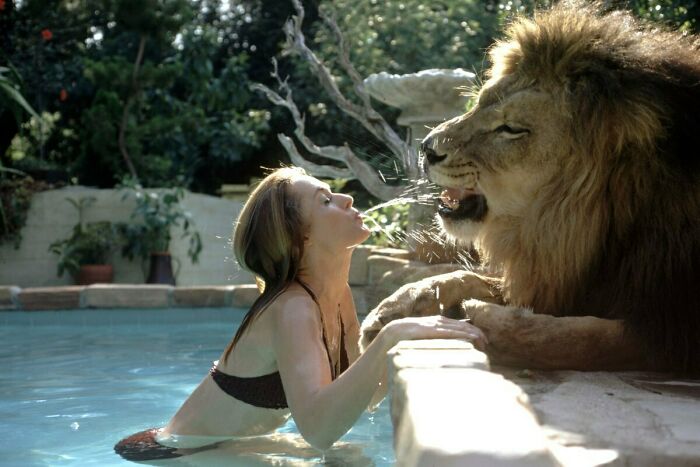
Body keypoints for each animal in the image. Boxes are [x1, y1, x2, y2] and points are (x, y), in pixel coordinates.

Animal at [360, 0, 700, 372]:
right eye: (481, 102)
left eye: (510, 128)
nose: (427, 148)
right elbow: (464, 277)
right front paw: (395, 307)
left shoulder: (670, 326)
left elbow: (583, 339)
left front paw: (484, 319)